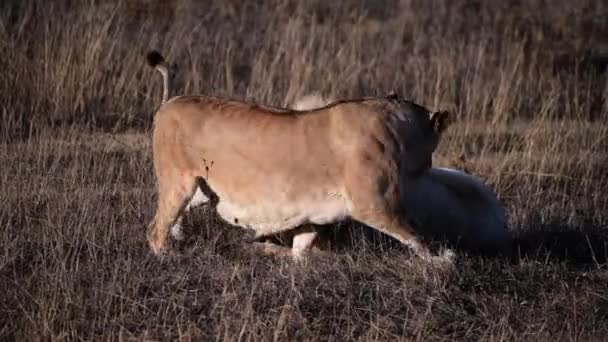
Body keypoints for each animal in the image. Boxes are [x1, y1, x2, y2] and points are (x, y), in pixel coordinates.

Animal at [146, 51, 452, 262]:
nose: (429, 165)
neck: (397, 126)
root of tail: (169, 101)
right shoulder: (375, 203)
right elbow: (414, 236)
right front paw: (440, 261)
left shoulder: (312, 213)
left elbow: (301, 249)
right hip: (178, 182)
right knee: (155, 228)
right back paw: (168, 257)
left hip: (202, 190)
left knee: (176, 217)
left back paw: (180, 237)